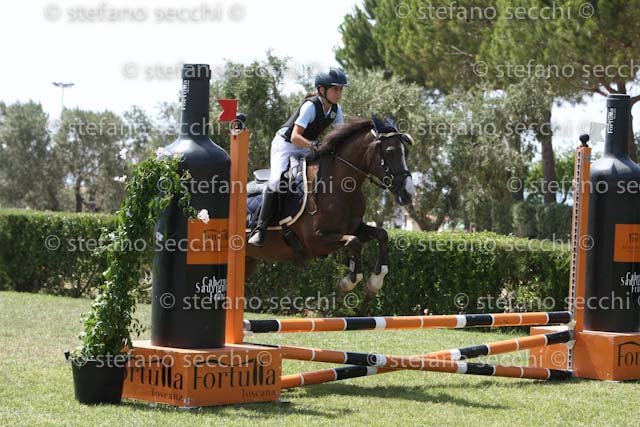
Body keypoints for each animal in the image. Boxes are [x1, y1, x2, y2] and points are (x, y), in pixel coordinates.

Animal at [245, 117, 415, 293]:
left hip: (249, 260)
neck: (340, 185)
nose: (409, 194)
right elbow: (354, 242)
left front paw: (376, 280)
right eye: (390, 151)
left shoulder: (355, 228)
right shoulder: (315, 241)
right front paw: (349, 281)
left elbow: (382, 234)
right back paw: (257, 236)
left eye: (406, 152)